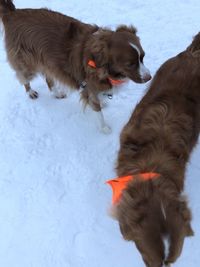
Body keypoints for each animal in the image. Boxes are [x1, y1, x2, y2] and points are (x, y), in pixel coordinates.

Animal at [0, 0, 150, 134]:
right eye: (130, 64)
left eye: (142, 57)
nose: (149, 77)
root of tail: (12, 13)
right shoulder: (89, 86)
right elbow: (97, 109)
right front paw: (104, 127)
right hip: (26, 62)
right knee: (23, 77)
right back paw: (30, 92)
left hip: (47, 62)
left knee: (48, 77)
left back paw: (56, 93)